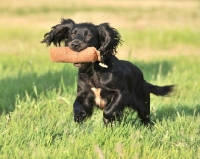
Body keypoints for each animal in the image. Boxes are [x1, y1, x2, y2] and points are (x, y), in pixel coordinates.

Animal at [41, 18, 173, 125]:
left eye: (89, 35)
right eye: (72, 34)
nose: (74, 44)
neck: (93, 72)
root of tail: (143, 79)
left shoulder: (121, 93)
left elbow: (108, 111)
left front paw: (113, 116)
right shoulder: (84, 93)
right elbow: (77, 105)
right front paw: (79, 116)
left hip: (143, 104)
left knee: (146, 119)